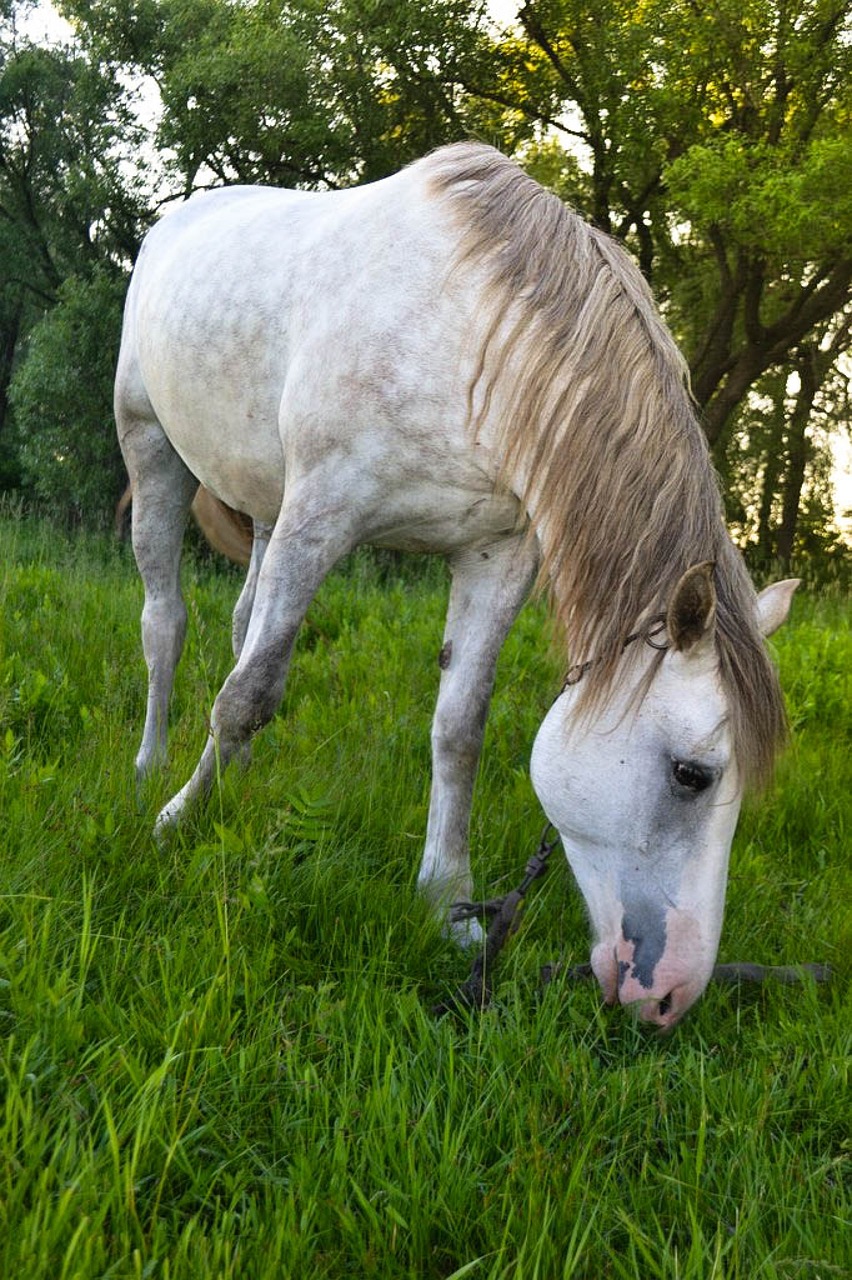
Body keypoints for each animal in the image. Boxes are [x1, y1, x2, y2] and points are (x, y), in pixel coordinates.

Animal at [116, 142, 793, 1029]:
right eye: (692, 774)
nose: (672, 996)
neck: (469, 340)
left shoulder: (494, 557)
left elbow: (458, 729)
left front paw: (448, 904)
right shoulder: (320, 518)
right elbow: (249, 693)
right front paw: (178, 823)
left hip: (263, 502)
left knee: (240, 623)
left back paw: (239, 776)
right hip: (153, 449)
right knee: (168, 623)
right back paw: (152, 771)